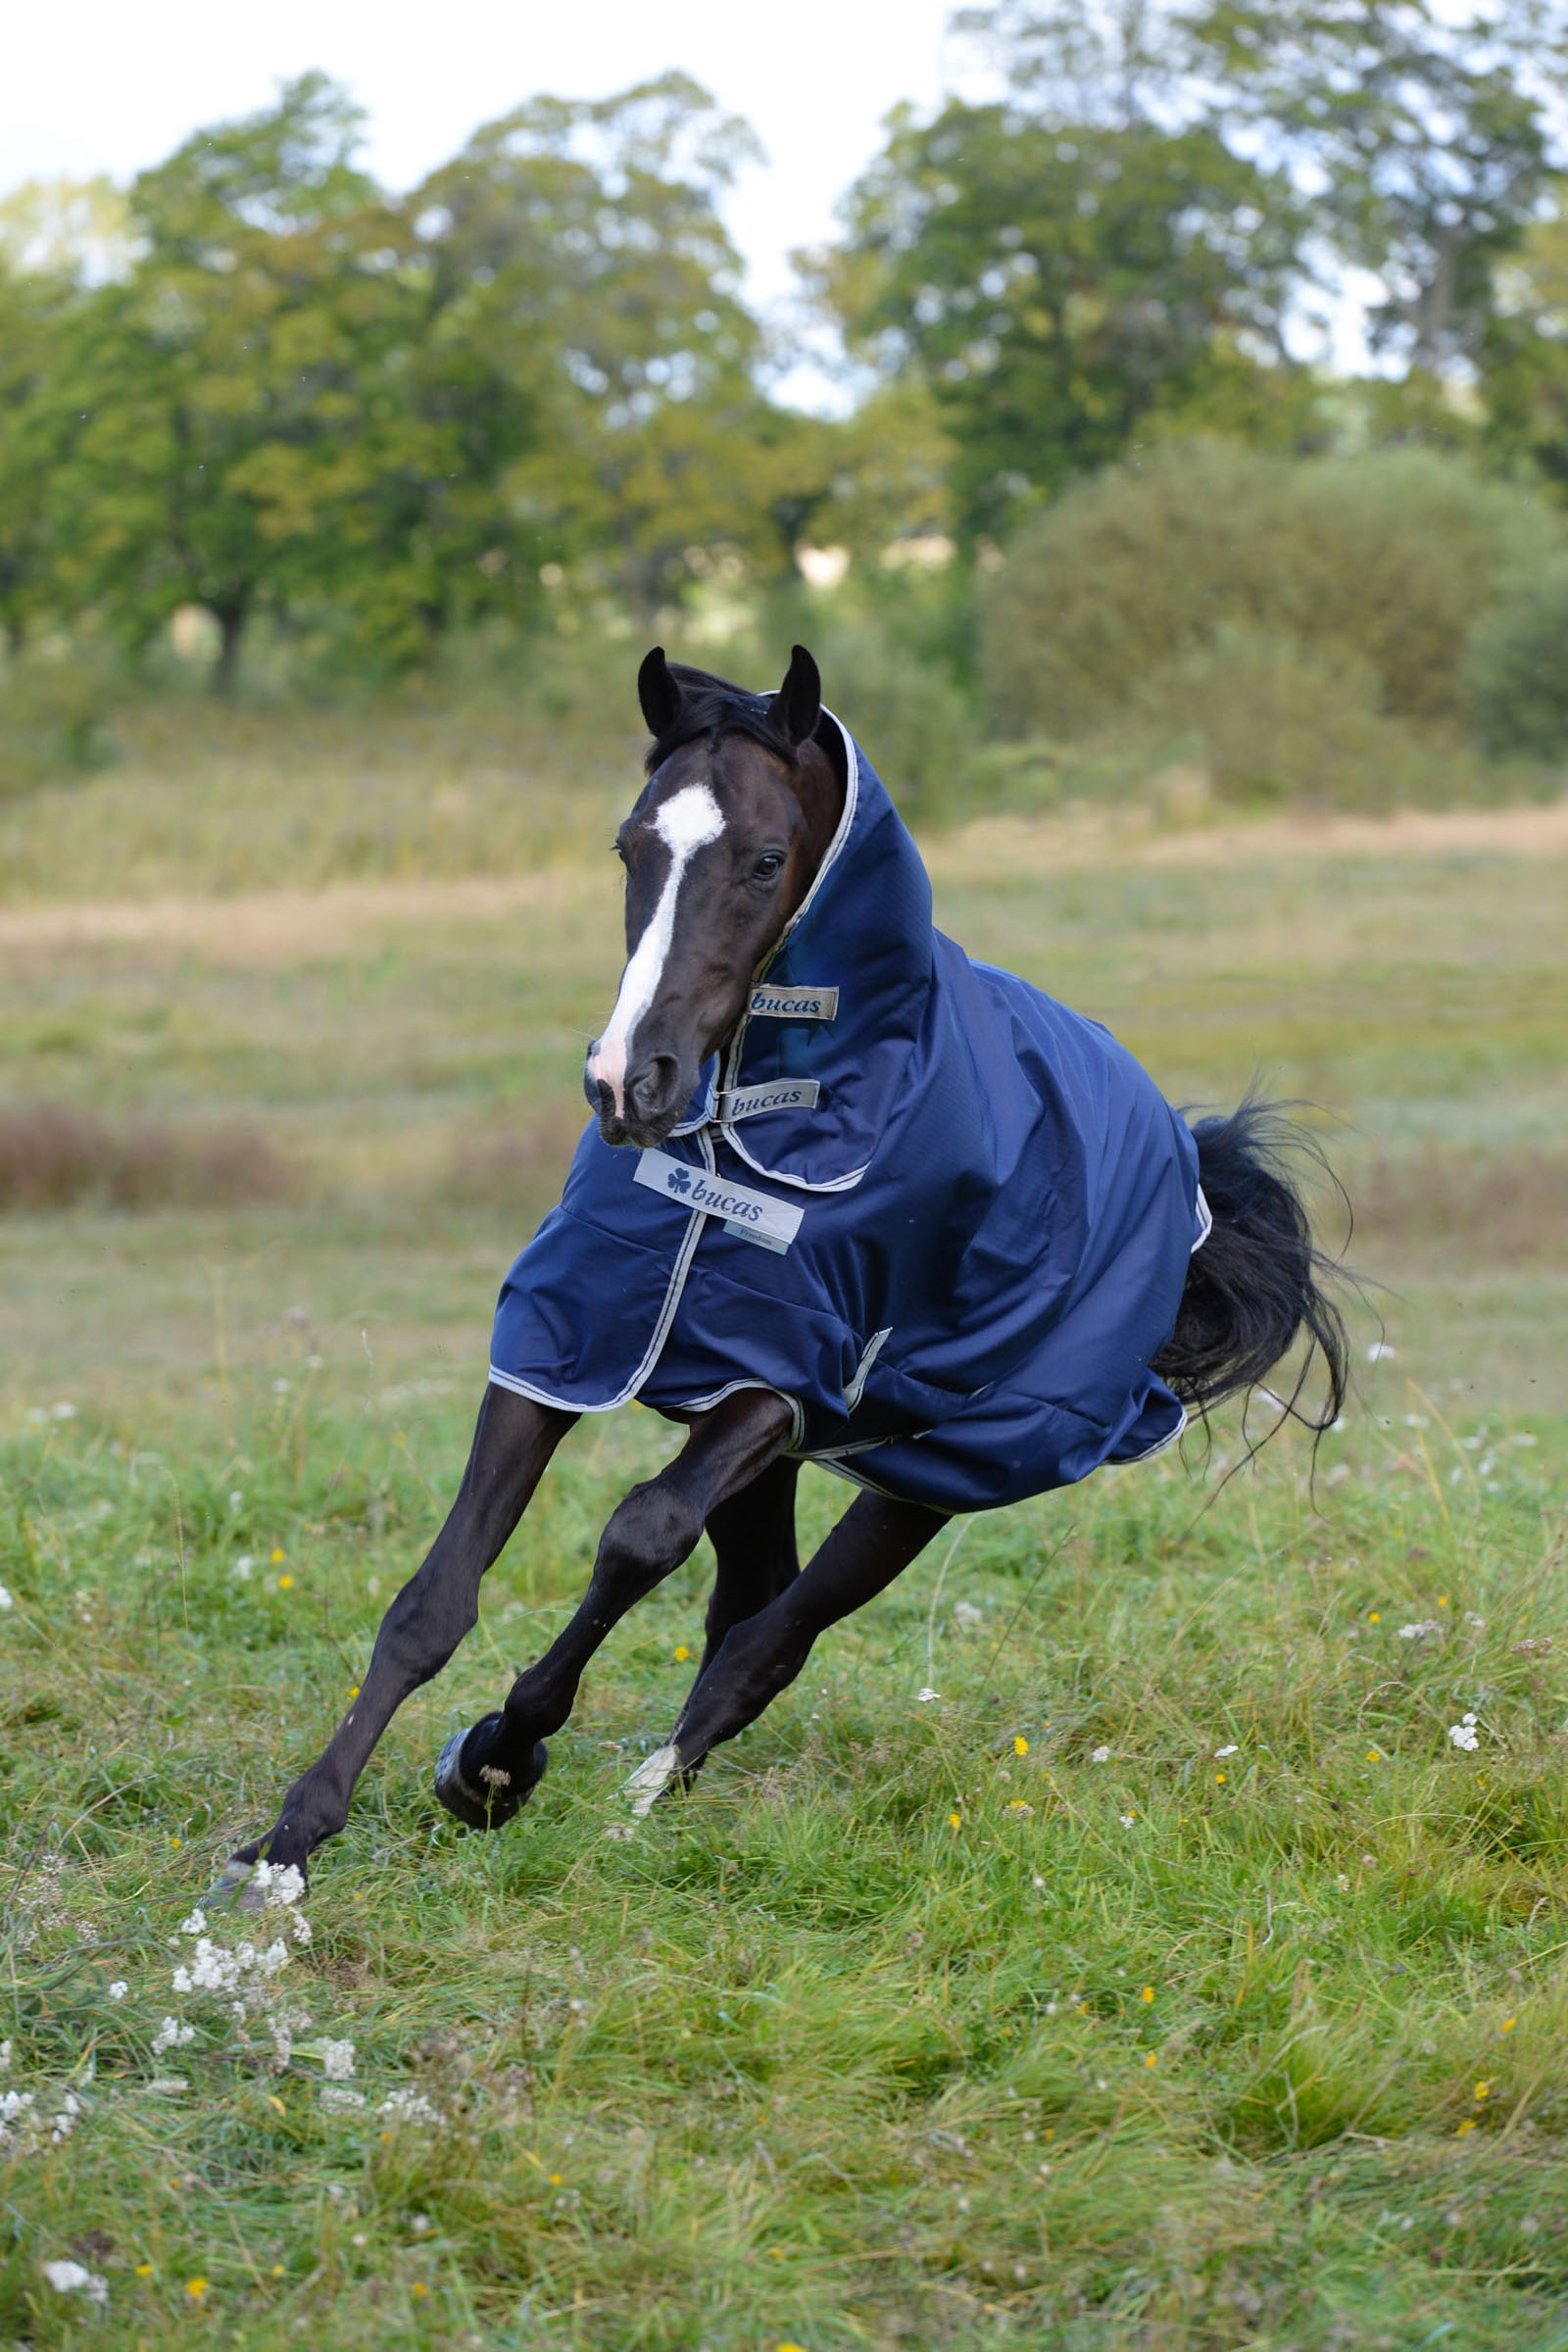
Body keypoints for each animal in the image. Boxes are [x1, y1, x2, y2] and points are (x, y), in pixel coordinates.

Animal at [215, 645, 1346, 1898]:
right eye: (630, 847)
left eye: (764, 860)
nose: (628, 1083)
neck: (762, 1125)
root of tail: (1182, 1155)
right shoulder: (570, 1340)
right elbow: (434, 1596)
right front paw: (290, 1843)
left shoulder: (786, 1376)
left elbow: (638, 1533)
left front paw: (500, 1759)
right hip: (781, 1456)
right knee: (748, 1603)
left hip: (931, 1469)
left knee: (775, 1635)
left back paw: (639, 1801)